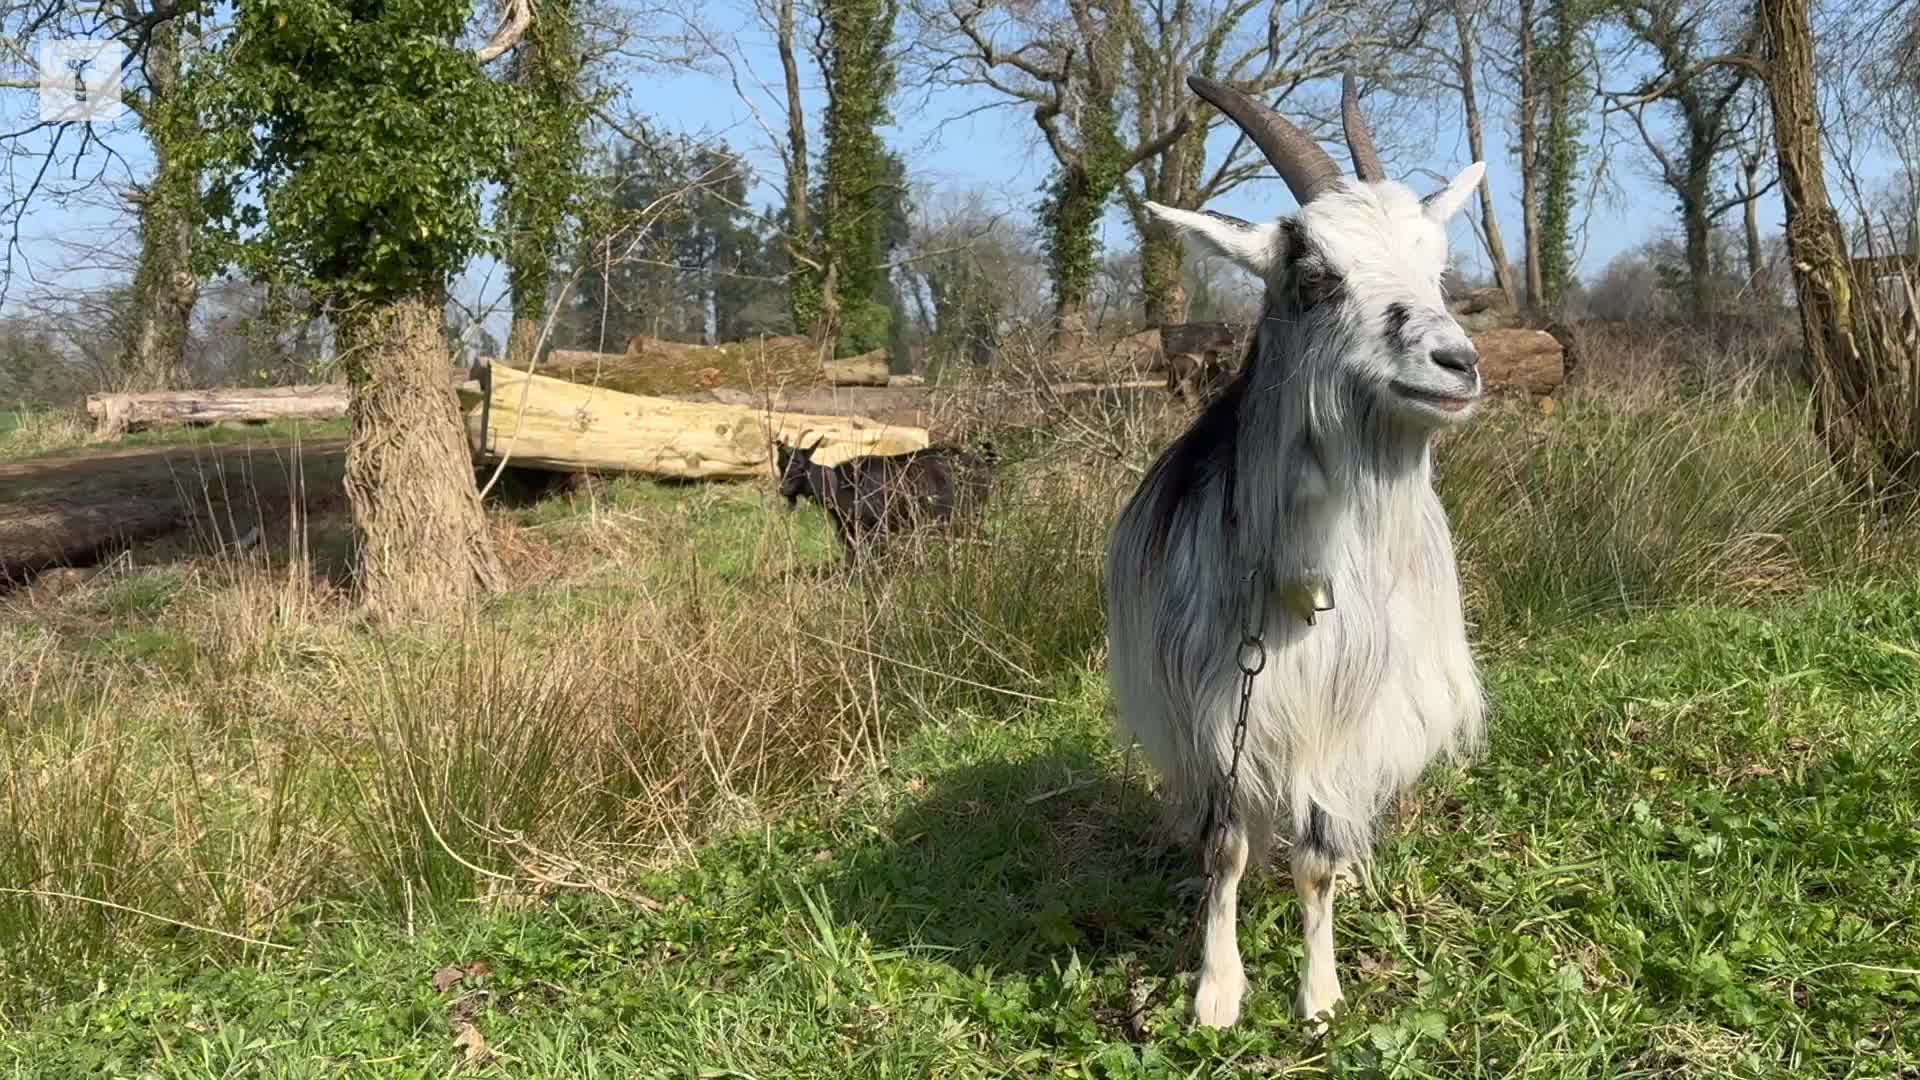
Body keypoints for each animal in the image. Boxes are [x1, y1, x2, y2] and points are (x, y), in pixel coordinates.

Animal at [771, 432, 998, 564]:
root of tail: (983, 464)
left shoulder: (872, 527)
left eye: (800, 465)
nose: (784, 490)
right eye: (780, 464)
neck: (839, 484)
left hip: (960, 514)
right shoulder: (848, 529)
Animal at [1105, 75, 1489, 1022]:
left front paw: (1320, 995)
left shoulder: (1343, 719)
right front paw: (1216, 991)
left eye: (1439, 267)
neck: (1297, 582)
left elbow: (1315, 854)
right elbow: (1225, 846)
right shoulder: (1211, 711)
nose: (1457, 363)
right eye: (1315, 274)